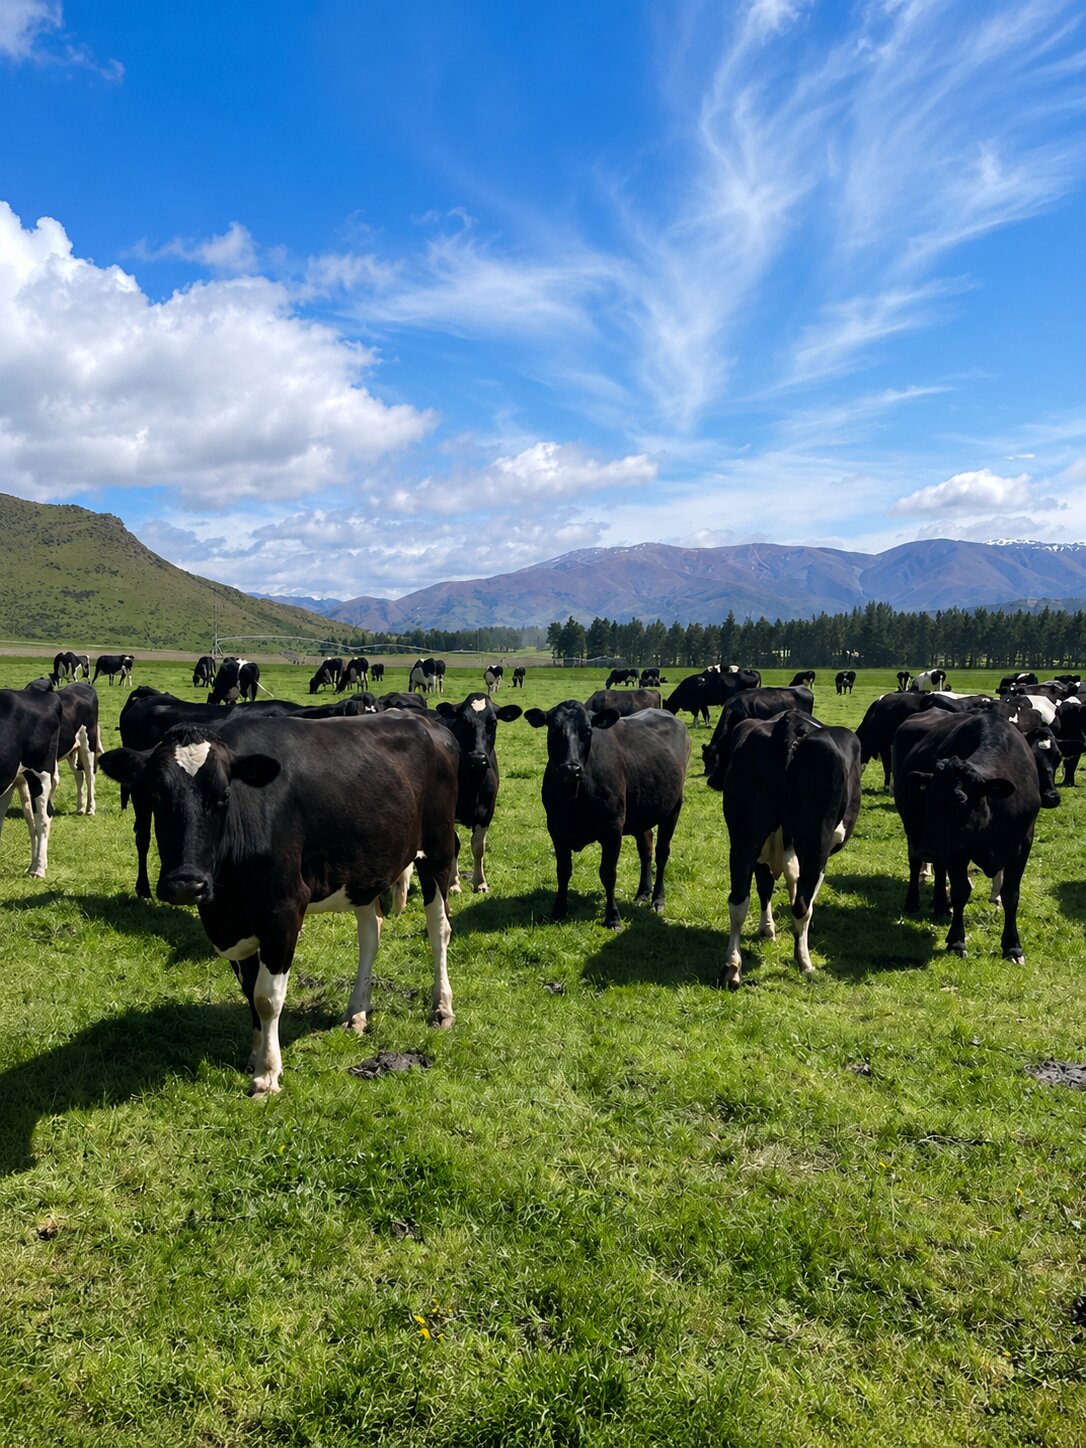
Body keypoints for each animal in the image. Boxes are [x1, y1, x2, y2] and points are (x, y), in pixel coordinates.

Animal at [99, 713, 460, 1096]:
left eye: (224, 796)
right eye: (155, 795)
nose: (187, 884)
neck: (226, 902)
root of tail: (427, 722)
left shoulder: (283, 913)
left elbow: (267, 998)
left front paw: (268, 1073)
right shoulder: (235, 925)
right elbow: (249, 994)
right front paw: (254, 1056)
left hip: (437, 850)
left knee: (439, 929)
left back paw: (441, 1008)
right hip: (364, 869)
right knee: (370, 935)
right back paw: (356, 1012)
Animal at [435, 692, 523, 894]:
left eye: (493, 722)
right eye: (463, 720)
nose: (477, 757)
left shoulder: (487, 811)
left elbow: (478, 846)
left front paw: (480, 882)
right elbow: (455, 845)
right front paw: (453, 884)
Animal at [525, 702, 690, 928]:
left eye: (587, 730)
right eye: (554, 730)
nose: (571, 768)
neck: (573, 798)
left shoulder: (613, 829)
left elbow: (608, 874)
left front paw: (612, 916)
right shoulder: (556, 829)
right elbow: (563, 871)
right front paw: (558, 910)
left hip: (673, 808)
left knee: (662, 853)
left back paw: (657, 899)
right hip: (642, 812)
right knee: (645, 849)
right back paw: (642, 893)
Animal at [716, 711, 861, 989]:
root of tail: (791, 723)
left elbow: (768, 886)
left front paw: (767, 929)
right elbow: (799, 890)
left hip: (744, 838)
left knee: (738, 900)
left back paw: (732, 966)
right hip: (817, 841)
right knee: (803, 904)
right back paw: (804, 962)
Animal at [892, 708, 1040, 961]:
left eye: (960, 800)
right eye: (927, 797)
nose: (926, 850)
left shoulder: (1022, 844)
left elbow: (1011, 894)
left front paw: (1012, 946)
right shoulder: (956, 850)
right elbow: (961, 891)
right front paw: (957, 941)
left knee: (939, 868)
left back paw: (941, 905)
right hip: (914, 828)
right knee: (915, 863)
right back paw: (913, 902)